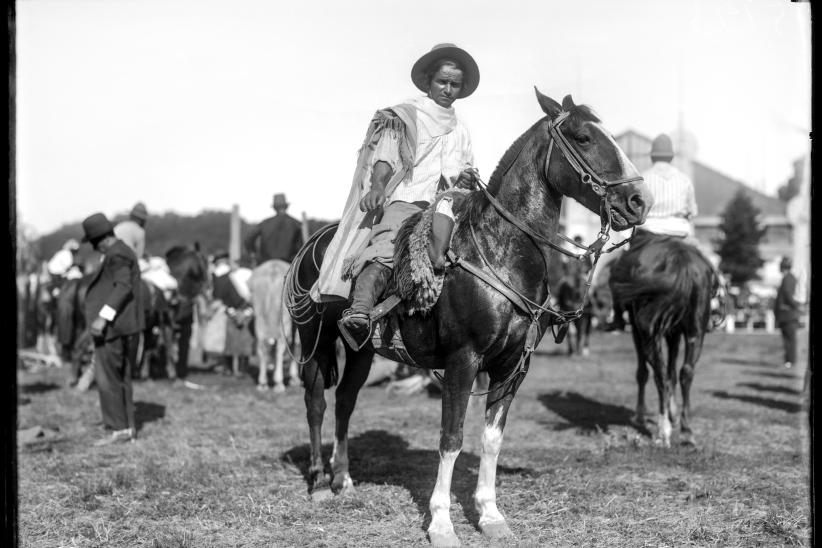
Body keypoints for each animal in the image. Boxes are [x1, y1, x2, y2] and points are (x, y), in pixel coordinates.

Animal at [253, 260, 300, 392]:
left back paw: (263, 383)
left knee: (263, 347)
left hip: (260, 318)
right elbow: (296, 345)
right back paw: (279, 382)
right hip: (284, 318)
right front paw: (294, 378)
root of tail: (273, 269)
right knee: (281, 346)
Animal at [286, 90, 652, 544]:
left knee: (345, 402)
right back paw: (320, 483)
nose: (639, 202)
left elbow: (491, 439)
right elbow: (452, 438)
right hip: (314, 339)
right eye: (584, 137)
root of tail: (317, 240)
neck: (500, 250)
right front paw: (441, 522)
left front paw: (490, 515)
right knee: (316, 402)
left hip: (361, 350)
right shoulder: (463, 361)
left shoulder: (513, 367)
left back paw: (344, 478)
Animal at [612, 229, 720, 448]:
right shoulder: (674, 332)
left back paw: (663, 431)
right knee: (686, 371)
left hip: (648, 331)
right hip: (696, 331)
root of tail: (681, 259)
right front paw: (674, 413)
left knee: (659, 374)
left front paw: (641, 415)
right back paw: (686, 430)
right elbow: (673, 373)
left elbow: (643, 373)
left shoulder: (637, 329)